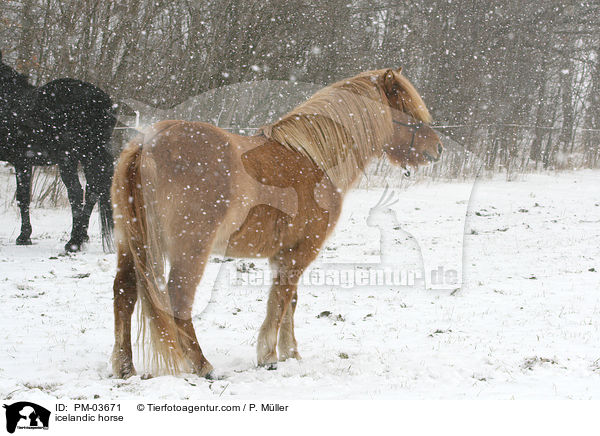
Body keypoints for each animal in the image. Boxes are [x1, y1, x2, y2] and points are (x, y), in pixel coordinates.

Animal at [0, 52, 114, 252]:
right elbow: (24, 197)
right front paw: (25, 236)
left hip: (68, 159)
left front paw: (23, 237)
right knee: (92, 191)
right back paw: (82, 237)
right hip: (88, 156)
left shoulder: (22, 162)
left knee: (76, 192)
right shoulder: (24, 162)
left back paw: (74, 242)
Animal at [110, 67, 442, 378]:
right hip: (190, 250)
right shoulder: (302, 250)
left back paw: (125, 368)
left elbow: (290, 301)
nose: (438, 149)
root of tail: (145, 145)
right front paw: (269, 355)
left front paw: (290, 353)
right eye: (409, 111)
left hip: (129, 244)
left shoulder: (285, 252)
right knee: (178, 299)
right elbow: (280, 300)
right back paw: (203, 365)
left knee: (124, 292)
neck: (315, 160)